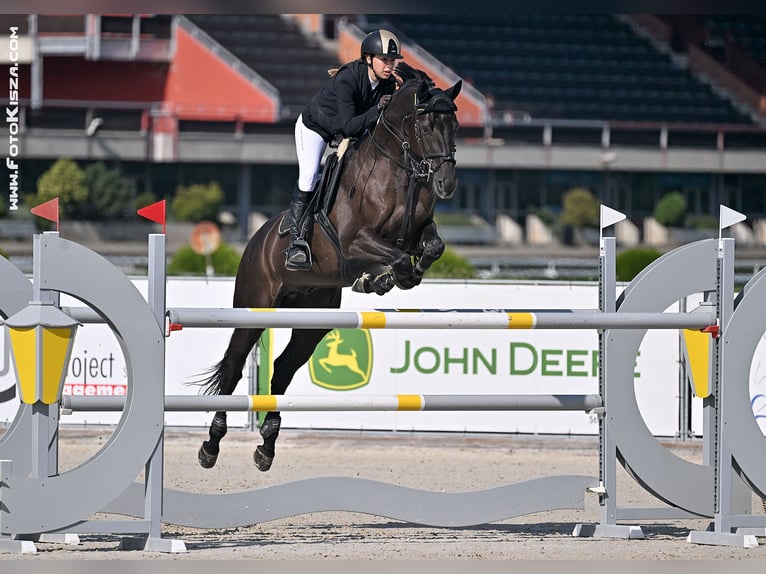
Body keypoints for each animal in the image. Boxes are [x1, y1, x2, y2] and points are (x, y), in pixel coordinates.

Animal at [198, 63, 462, 472]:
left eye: (455, 126)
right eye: (427, 124)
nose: (446, 184)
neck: (398, 172)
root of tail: (255, 241)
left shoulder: (416, 234)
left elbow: (431, 247)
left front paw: (389, 279)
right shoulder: (355, 242)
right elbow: (396, 259)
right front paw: (379, 279)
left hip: (313, 321)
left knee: (283, 368)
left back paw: (266, 447)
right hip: (254, 308)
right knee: (234, 365)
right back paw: (211, 445)